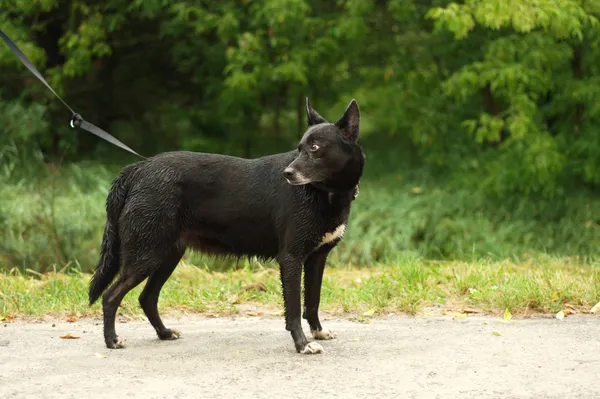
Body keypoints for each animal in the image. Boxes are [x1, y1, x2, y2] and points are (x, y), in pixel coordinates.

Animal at [86, 98, 364, 354]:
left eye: (315, 148)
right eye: (299, 149)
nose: (287, 174)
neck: (323, 193)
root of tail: (138, 169)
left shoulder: (317, 258)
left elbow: (313, 302)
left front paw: (318, 333)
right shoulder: (291, 258)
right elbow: (294, 309)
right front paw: (302, 345)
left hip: (166, 255)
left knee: (147, 297)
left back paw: (164, 333)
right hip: (146, 255)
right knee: (111, 296)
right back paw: (112, 341)